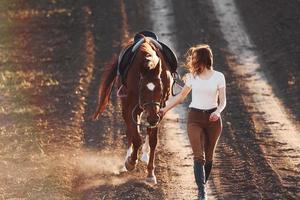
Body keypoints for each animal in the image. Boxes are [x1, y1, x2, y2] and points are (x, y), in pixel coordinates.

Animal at [91, 36, 172, 184]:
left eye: (160, 91)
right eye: (143, 91)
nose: (153, 118)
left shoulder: (159, 110)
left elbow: (153, 140)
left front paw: (150, 173)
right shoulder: (129, 108)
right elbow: (136, 138)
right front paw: (130, 162)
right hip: (130, 107)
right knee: (130, 132)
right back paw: (127, 160)